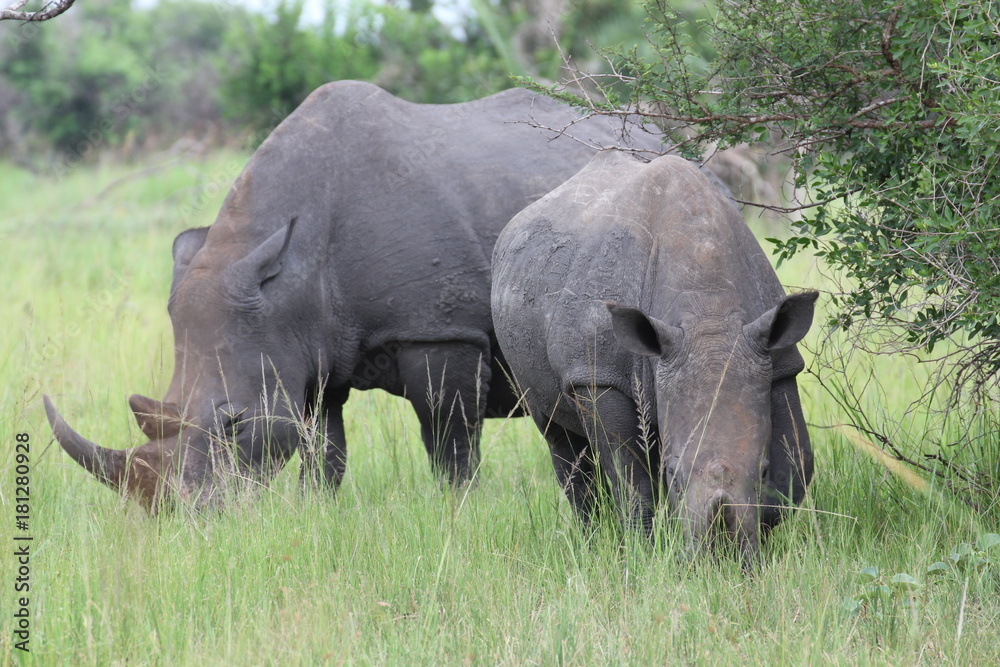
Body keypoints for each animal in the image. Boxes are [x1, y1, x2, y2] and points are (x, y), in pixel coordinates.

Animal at [44, 81, 663, 512]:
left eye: (234, 423)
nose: (179, 515)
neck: (290, 276)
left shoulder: (437, 330)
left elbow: (450, 444)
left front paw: (457, 511)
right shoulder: (308, 350)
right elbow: (323, 450)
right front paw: (313, 512)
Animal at [491, 152, 818, 563]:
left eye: (761, 472)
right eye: (674, 476)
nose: (719, 557)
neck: (709, 314)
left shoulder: (777, 360)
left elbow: (797, 465)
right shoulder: (600, 376)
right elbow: (631, 478)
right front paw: (642, 553)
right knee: (561, 440)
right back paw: (592, 542)